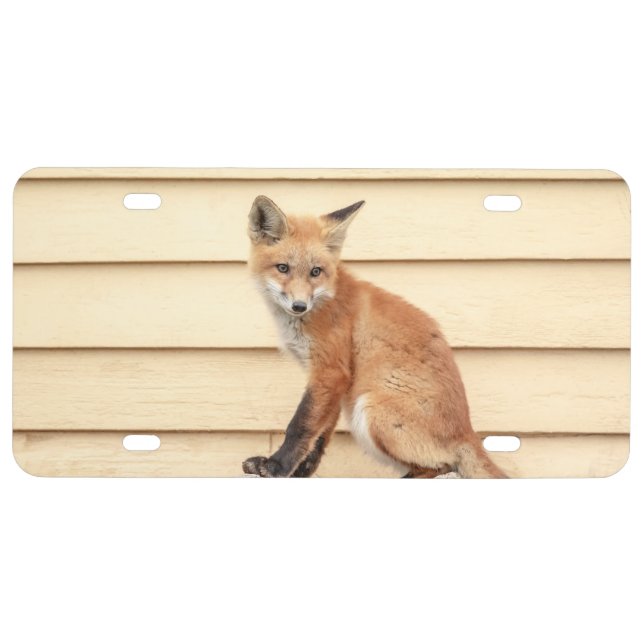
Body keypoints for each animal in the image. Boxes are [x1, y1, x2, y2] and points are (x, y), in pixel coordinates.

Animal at [242, 195, 508, 479]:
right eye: (283, 268)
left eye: (315, 271)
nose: (300, 306)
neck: (324, 299)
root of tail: (467, 432)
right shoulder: (336, 381)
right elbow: (320, 436)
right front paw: (301, 472)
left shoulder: (330, 371)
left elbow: (300, 426)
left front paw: (276, 466)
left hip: (370, 411)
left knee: (442, 465)